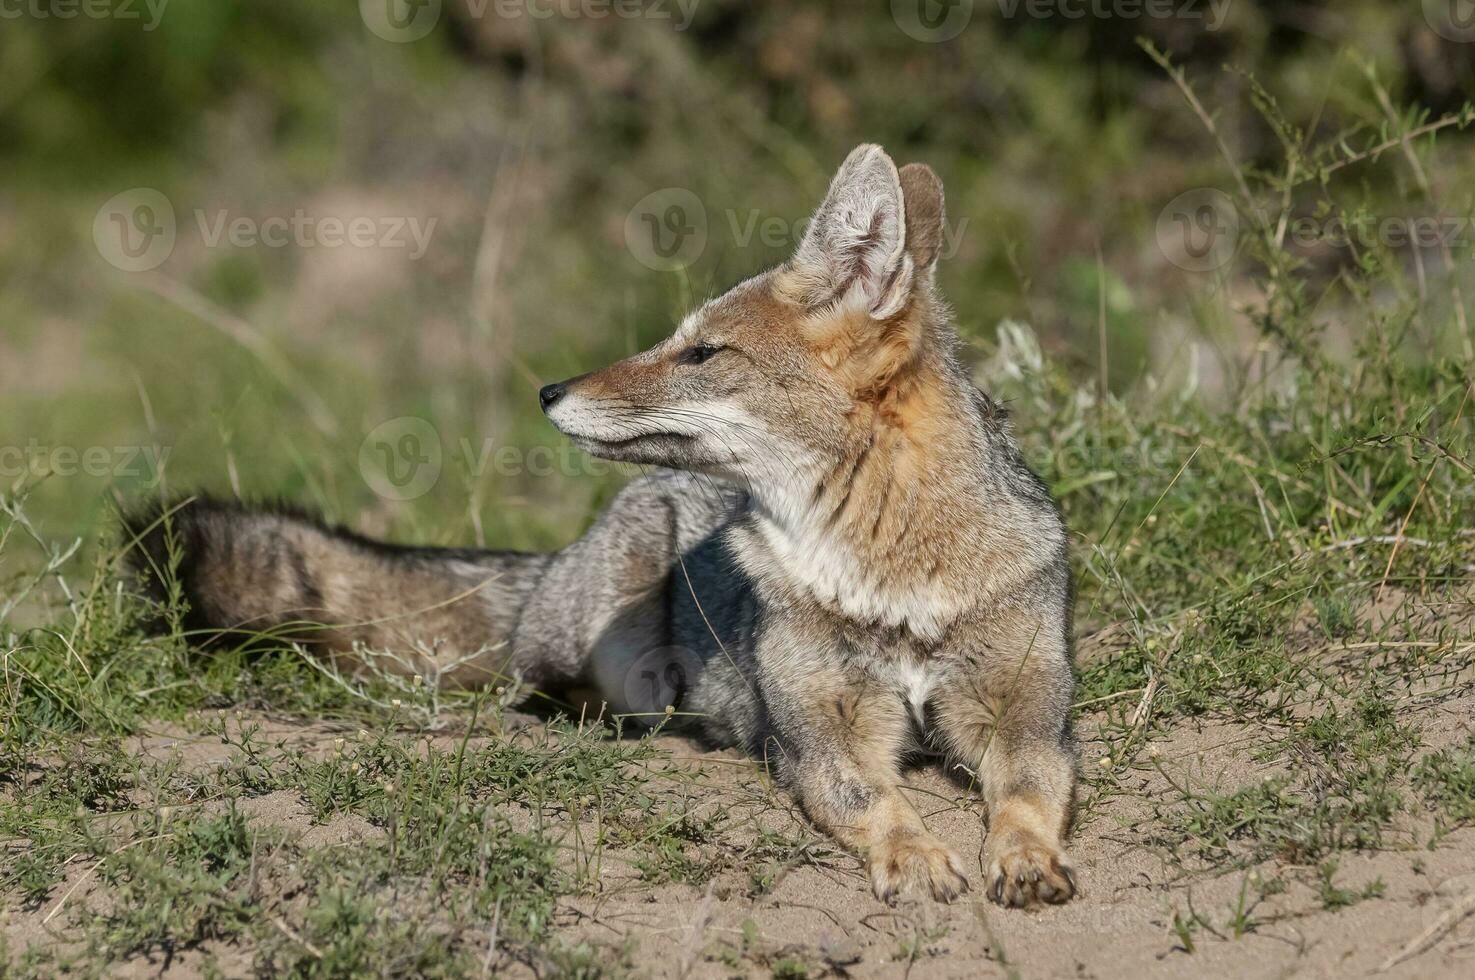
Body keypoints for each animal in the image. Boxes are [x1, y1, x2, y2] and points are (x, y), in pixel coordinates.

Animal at [132, 147, 1079, 909]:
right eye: (678, 342)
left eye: (699, 353)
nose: (549, 391)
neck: (887, 578)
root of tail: (560, 553)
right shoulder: (821, 731)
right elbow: (873, 799)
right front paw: (916, 855)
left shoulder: (1026, 710)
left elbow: (1032, 791)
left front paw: (1025, 858)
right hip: (603, 641)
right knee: (533, 688)